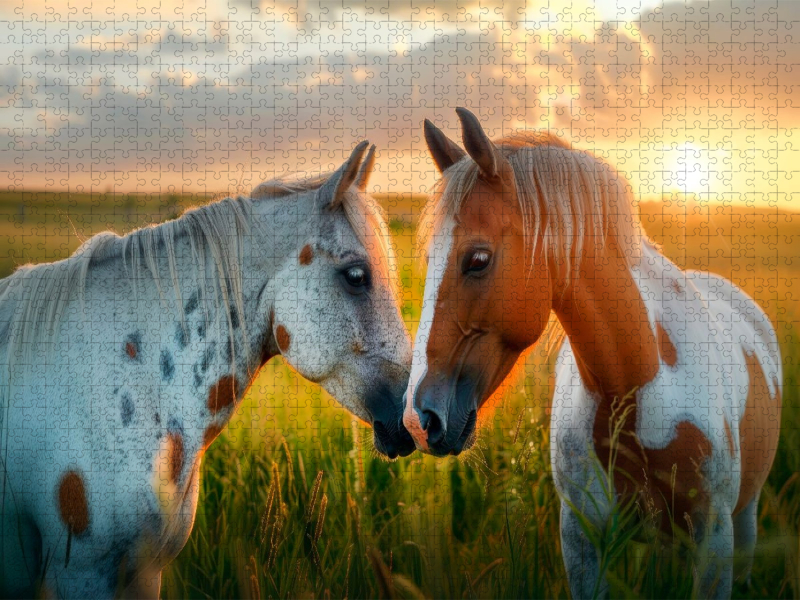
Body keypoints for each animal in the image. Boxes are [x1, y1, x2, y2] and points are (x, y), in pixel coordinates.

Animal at [402, 109, 783, 599]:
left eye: (478, 259)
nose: (418, 420)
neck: (638, 385)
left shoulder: (714, 538)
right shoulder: (582, 540)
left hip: (745, 516)